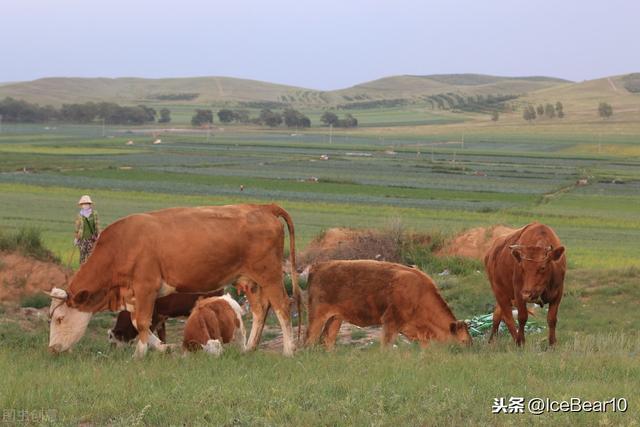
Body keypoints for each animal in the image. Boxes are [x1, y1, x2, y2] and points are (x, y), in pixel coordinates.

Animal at [46, 204, 302, 358]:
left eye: (59, 319)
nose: (52, 349)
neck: (123, 245)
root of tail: (261, 207)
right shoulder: (134, 295)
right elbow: (141, 323)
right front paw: (161, 347)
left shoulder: (146, 287)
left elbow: (142, 323)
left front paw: (139, 354)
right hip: (249, 280)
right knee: (260, 309)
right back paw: (248, 348)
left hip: (269, 275)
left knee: (282, 306)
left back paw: (289, 351)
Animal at [302, 260, 472, 350]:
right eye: (463, 341)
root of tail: (319, 265)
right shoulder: (390, 322)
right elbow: (386, 346)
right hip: (317, 316)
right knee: (309, 339)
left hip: (336, 318)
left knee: (327, 339)